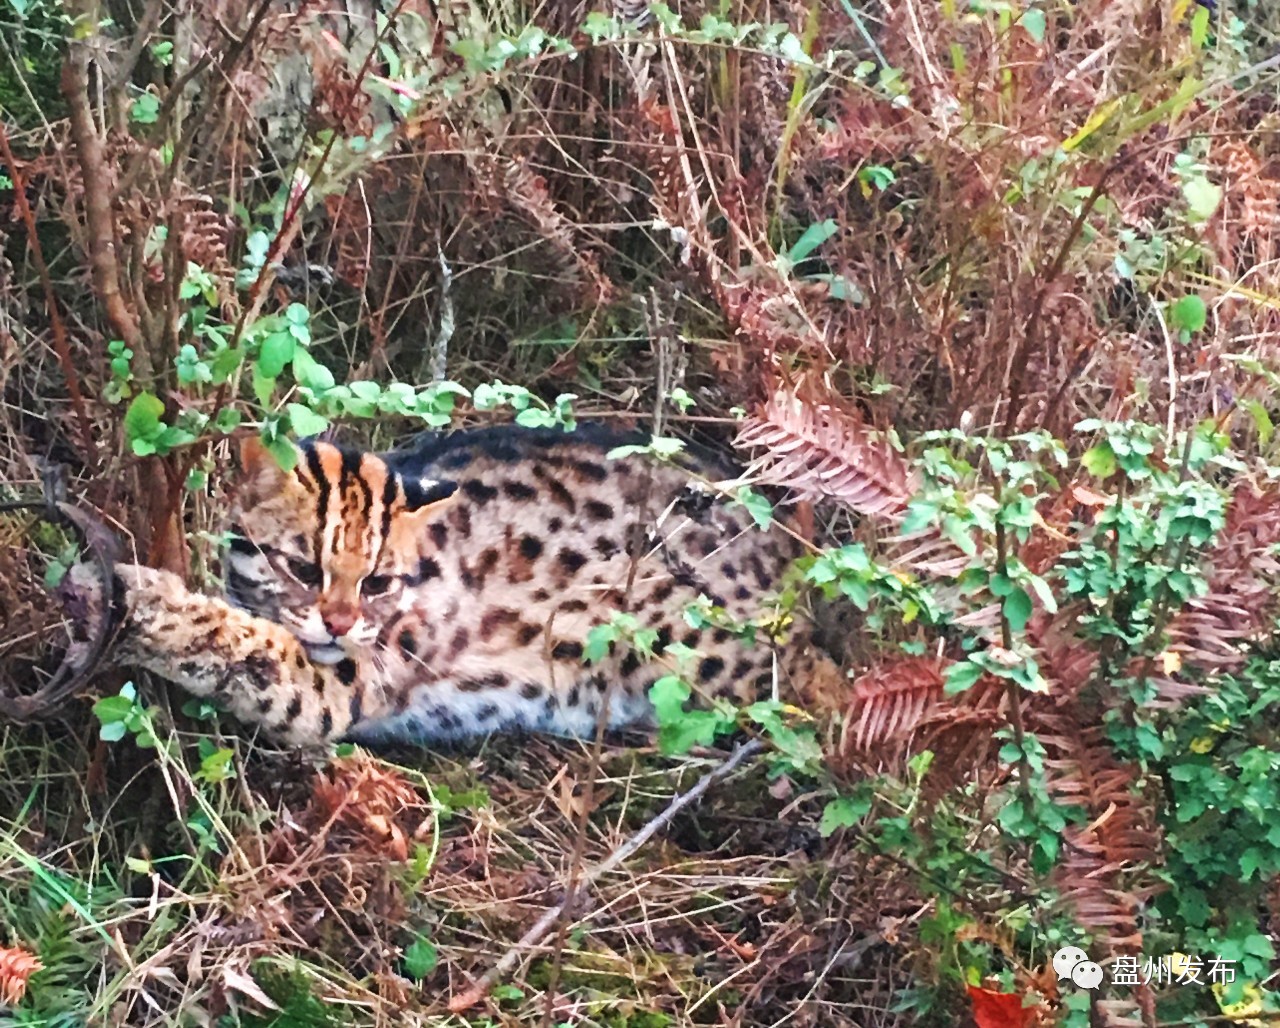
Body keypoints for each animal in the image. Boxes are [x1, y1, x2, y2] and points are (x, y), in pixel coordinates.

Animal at [62, 425, 839, 747]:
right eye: (305, 569)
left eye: (376, 582)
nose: (337, 623)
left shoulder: (348, 678)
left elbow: (248, 646)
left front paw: (141, 602)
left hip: (688, 649)